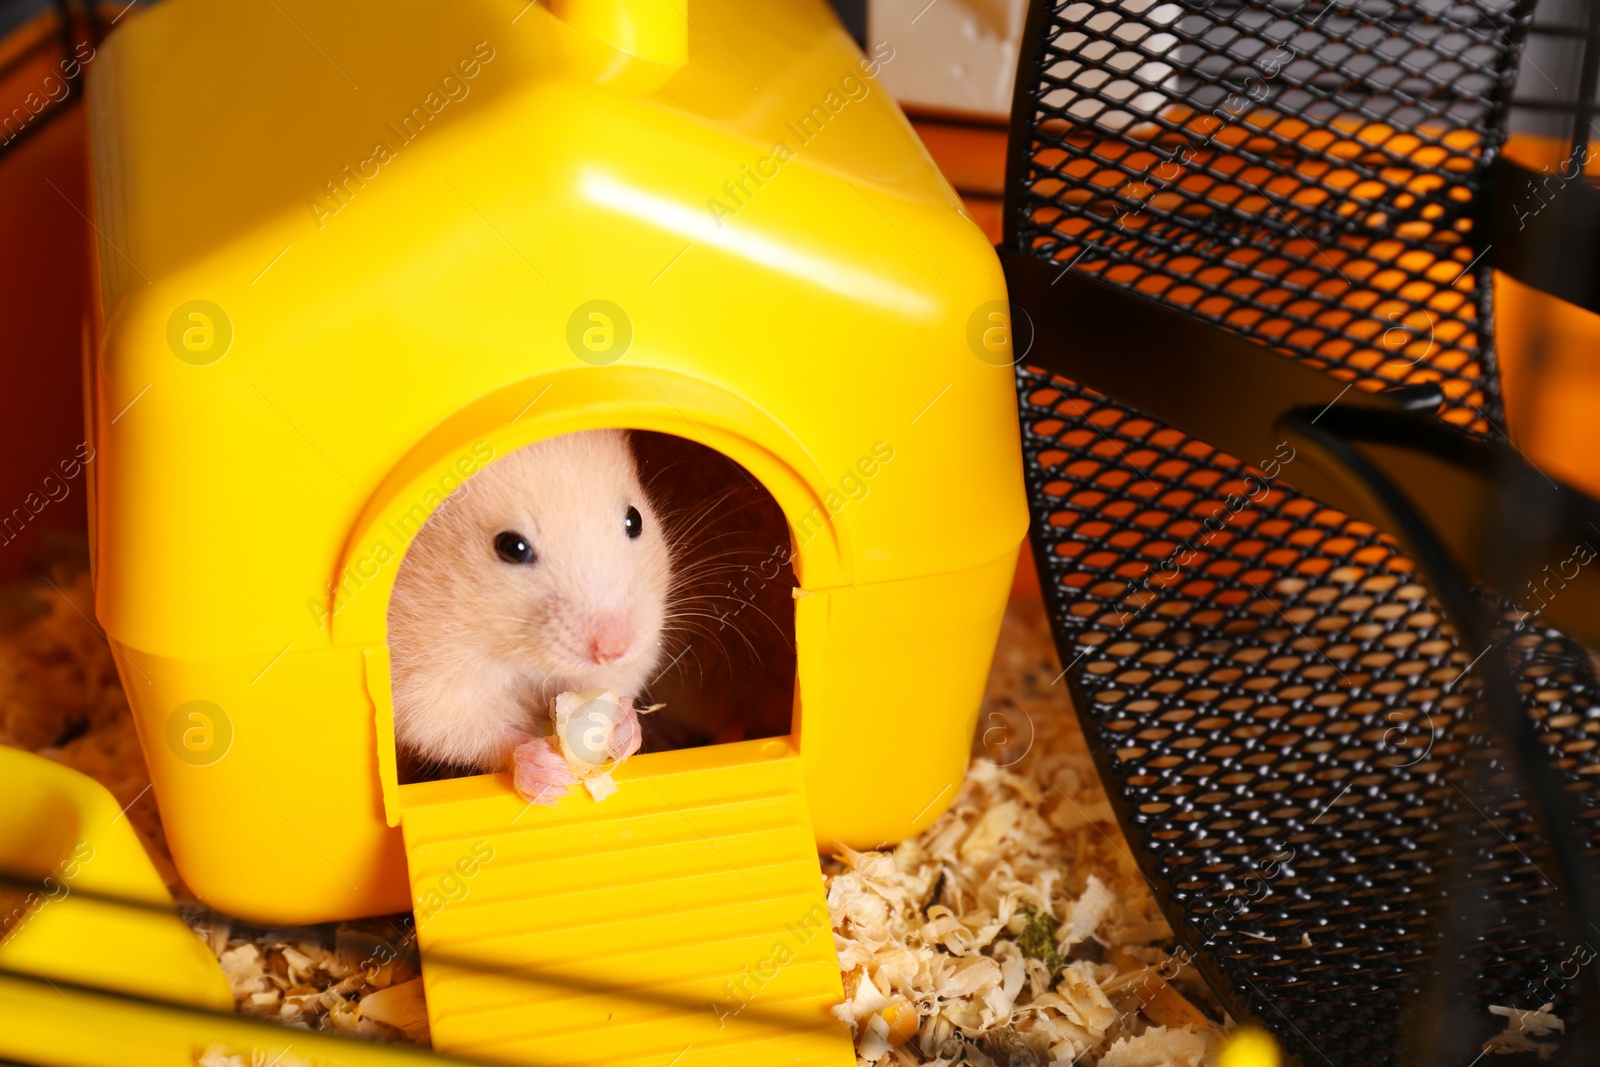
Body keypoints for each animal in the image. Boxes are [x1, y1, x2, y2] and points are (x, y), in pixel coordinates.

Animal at [390, 428, 672, 777]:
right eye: (513, 547)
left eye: (635, 520)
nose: (613, 649)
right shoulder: (423, 685)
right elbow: (461, 728)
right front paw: (546, 771)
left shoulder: (640, 647)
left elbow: (615, 681)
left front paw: (623, 727)